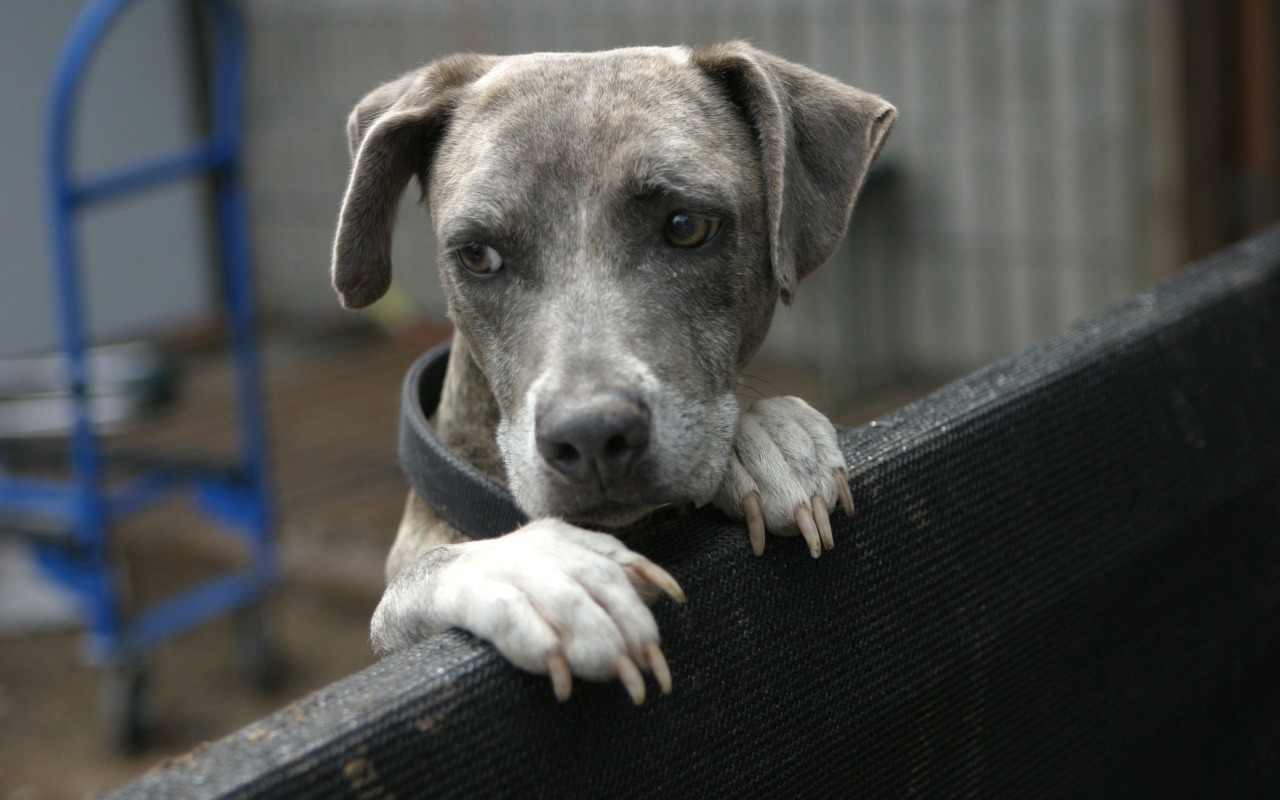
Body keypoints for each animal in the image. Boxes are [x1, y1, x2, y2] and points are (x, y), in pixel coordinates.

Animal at [327, 45, 890, 706]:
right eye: (477, 255)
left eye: (686, 226)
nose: (591, 436)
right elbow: (423, 574)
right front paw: (535, 573)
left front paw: (766, 440)